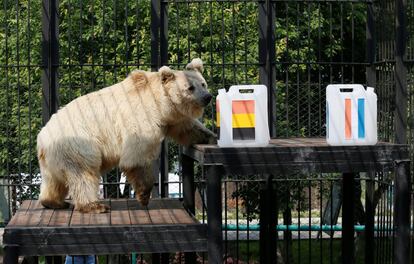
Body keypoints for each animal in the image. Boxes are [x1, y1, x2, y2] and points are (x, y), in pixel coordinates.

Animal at [36, 58, 215, 212]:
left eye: (203, 83)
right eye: (190, 87)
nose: (207, 97)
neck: (160, 103)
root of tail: (42, 139)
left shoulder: (173, 117)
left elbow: (188, 128)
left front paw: (211, 137)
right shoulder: (141, 116)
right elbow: (137, 156)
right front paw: (144, 195)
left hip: (53, 160)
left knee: (54, 181)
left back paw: (53, 202)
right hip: (78, 145)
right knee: (84, 174)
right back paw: (94, 205)